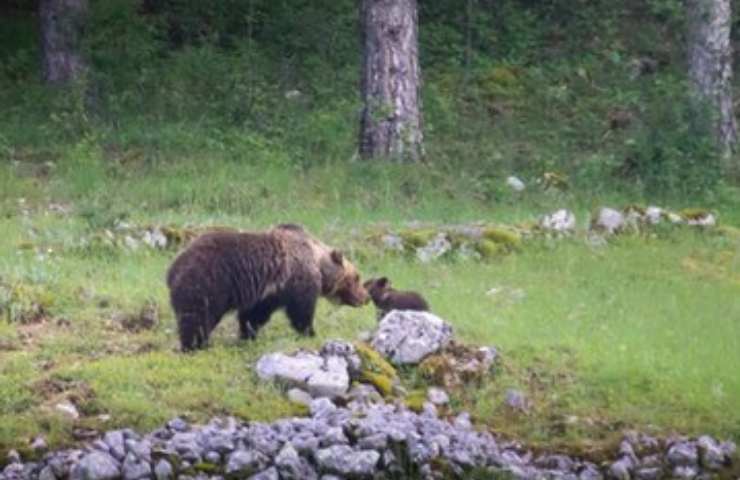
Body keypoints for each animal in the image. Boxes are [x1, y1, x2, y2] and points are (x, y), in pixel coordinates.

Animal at [165, 223, 368, 350]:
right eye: (357, 277)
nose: (365, 297)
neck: (317, 261)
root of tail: (173, 267)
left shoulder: (270, 292)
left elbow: (254, 315)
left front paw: (247, 334)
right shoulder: (297, 281)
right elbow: (301, 311)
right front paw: (310, 332)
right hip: (208, 282)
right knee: (197, 317)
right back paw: (196, 344)